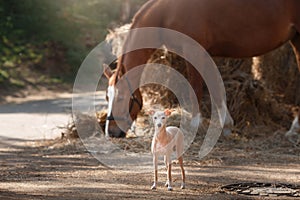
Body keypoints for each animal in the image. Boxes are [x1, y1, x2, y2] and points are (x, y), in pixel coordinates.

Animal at [104, 0, 300, 138]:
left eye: (121, 97)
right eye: (107, 97)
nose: (111, 132)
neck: (167, 12)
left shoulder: (194, 52)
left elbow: (196, 89)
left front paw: (193, 127)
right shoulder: (207, 54)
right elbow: (216, 88)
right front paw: (226, 125)